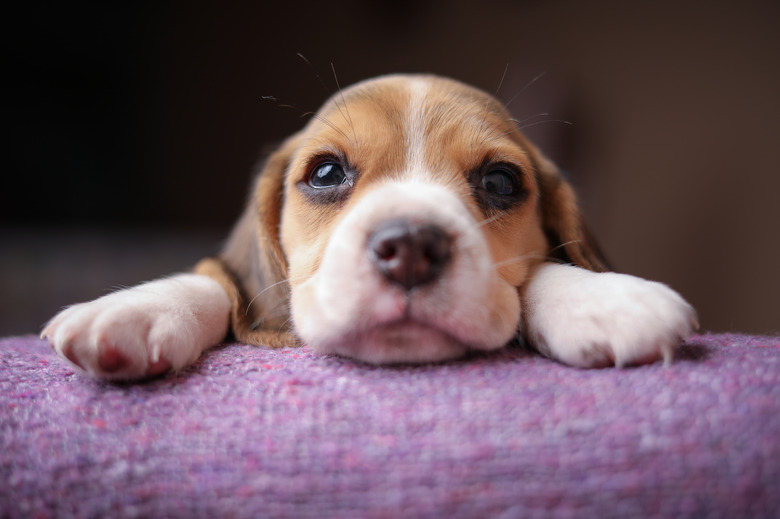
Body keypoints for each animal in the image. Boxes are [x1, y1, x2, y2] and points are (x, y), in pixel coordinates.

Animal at [42, 75, 696, 380]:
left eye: (501, 182)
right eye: (327, 172)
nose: (409, 247)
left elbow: (546, 270)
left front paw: (604, 299)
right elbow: (219, 280)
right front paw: (138, 309)